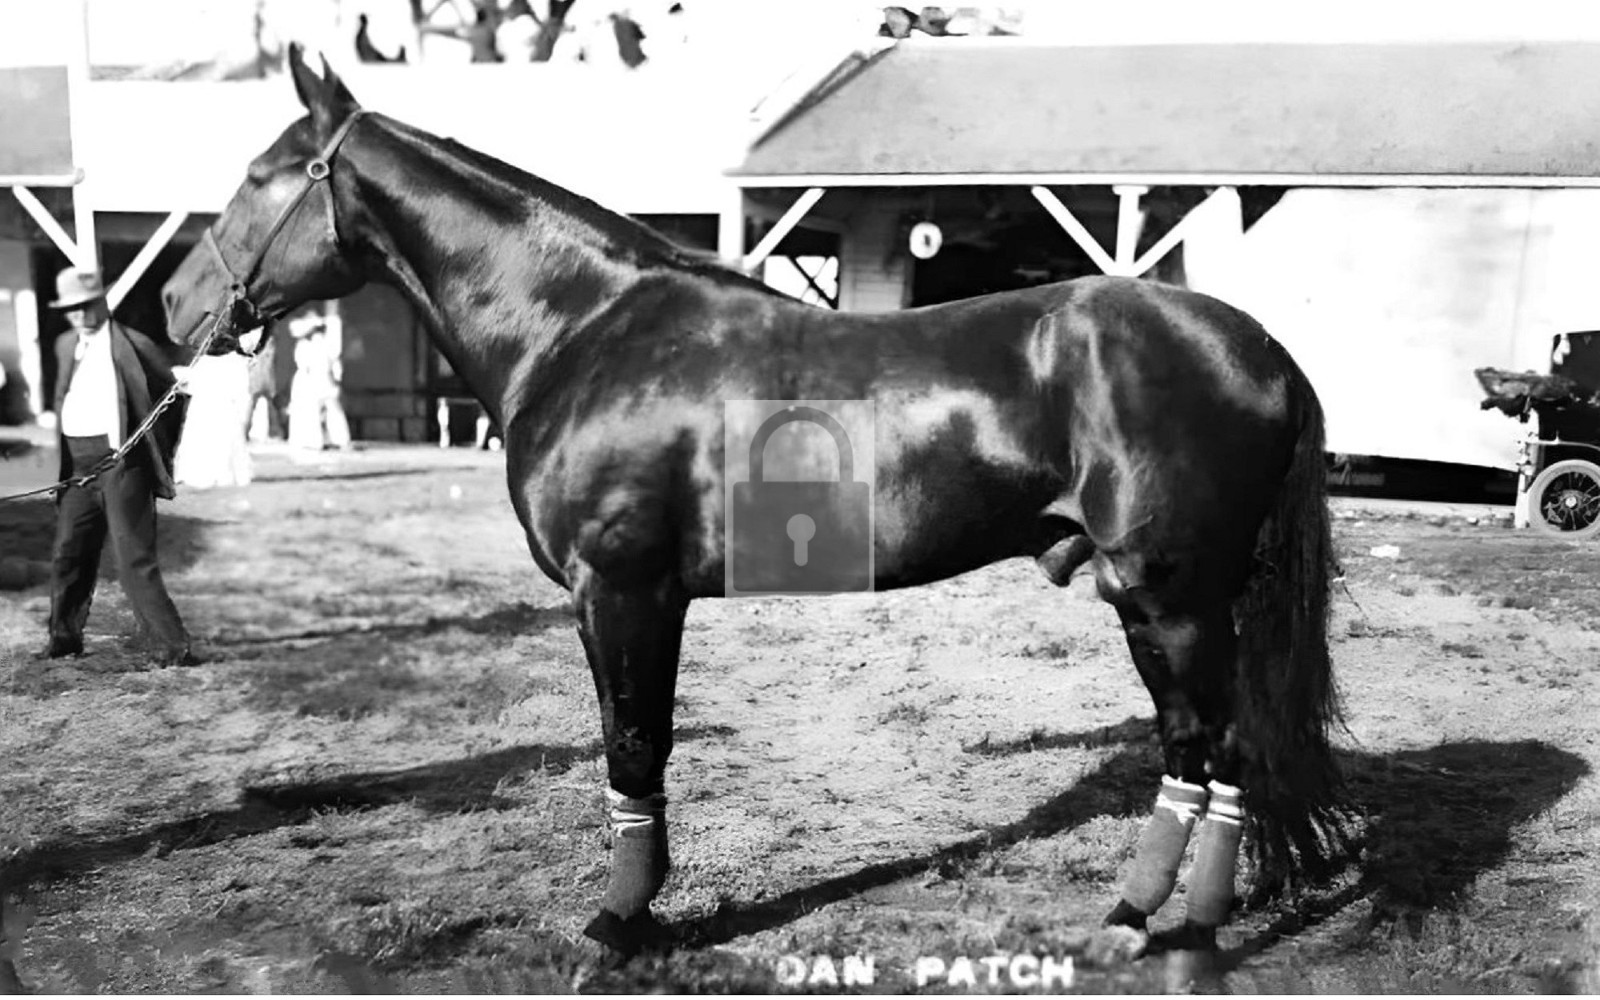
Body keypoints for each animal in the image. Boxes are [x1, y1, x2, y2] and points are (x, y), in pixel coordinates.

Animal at [162, 45, 1346, 959]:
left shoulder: (624, 591)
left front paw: (618, 927)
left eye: (264, 174)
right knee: (1193, 753)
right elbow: (640, 747)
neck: (584, 331)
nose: (174, 303)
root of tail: (1262, 348)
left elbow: (633, 746)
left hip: (1173, 598)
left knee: (1221, 753)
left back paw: (1178, 931)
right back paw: (1141, 918)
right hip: (1157, 602)